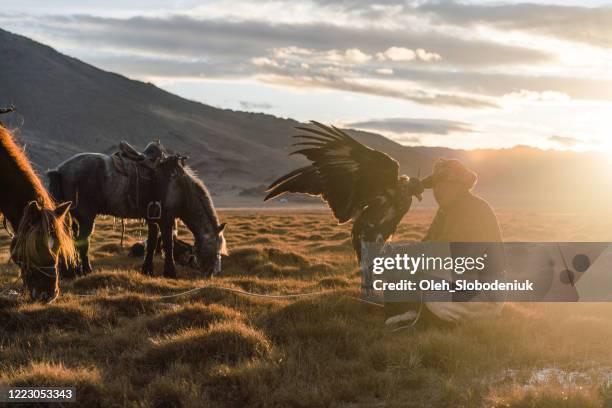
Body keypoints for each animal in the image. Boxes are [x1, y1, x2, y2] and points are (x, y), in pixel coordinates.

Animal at [46, 142, 226, 278]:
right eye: (214, 246)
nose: (214, 273)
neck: (180, 188)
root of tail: (60, 170)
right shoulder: (166, 219)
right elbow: (167, 244)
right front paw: (170, 272)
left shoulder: (153, 219)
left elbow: (152, 243)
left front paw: (148, 270)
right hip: (86, 217)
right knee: (82, 241)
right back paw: (86, 270)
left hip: (71, 216)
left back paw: (72, 271)